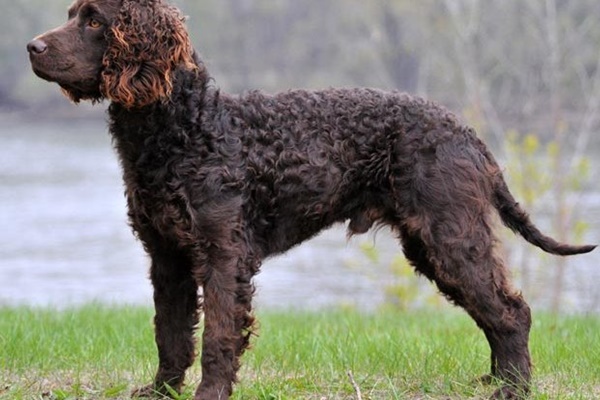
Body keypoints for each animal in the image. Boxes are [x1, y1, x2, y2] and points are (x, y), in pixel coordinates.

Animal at [29, 0, 596, 400]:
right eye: (71, 15)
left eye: (94, 21)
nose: (31, 47)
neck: (187, 128)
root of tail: (467, 133)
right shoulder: (167, 256)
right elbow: (171, 334)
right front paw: (161, 391)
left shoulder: (223, 254)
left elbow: (218, 336)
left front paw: (209, 393)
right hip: (432, 244)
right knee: (496, 314)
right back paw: (497, 381)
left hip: (450, 235)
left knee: (511, 312)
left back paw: (513, 389)